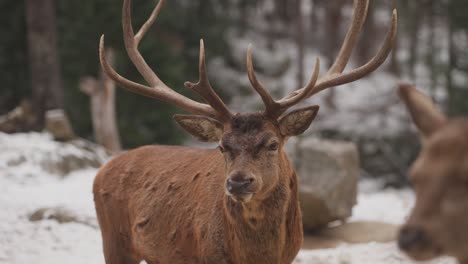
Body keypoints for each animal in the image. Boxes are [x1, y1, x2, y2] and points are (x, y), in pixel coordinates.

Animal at [94, 0, 398, 262]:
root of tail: (102, 170)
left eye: (273, 143)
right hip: (114, 240)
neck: (258, 257)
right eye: (222, 146)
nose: (239, 182)